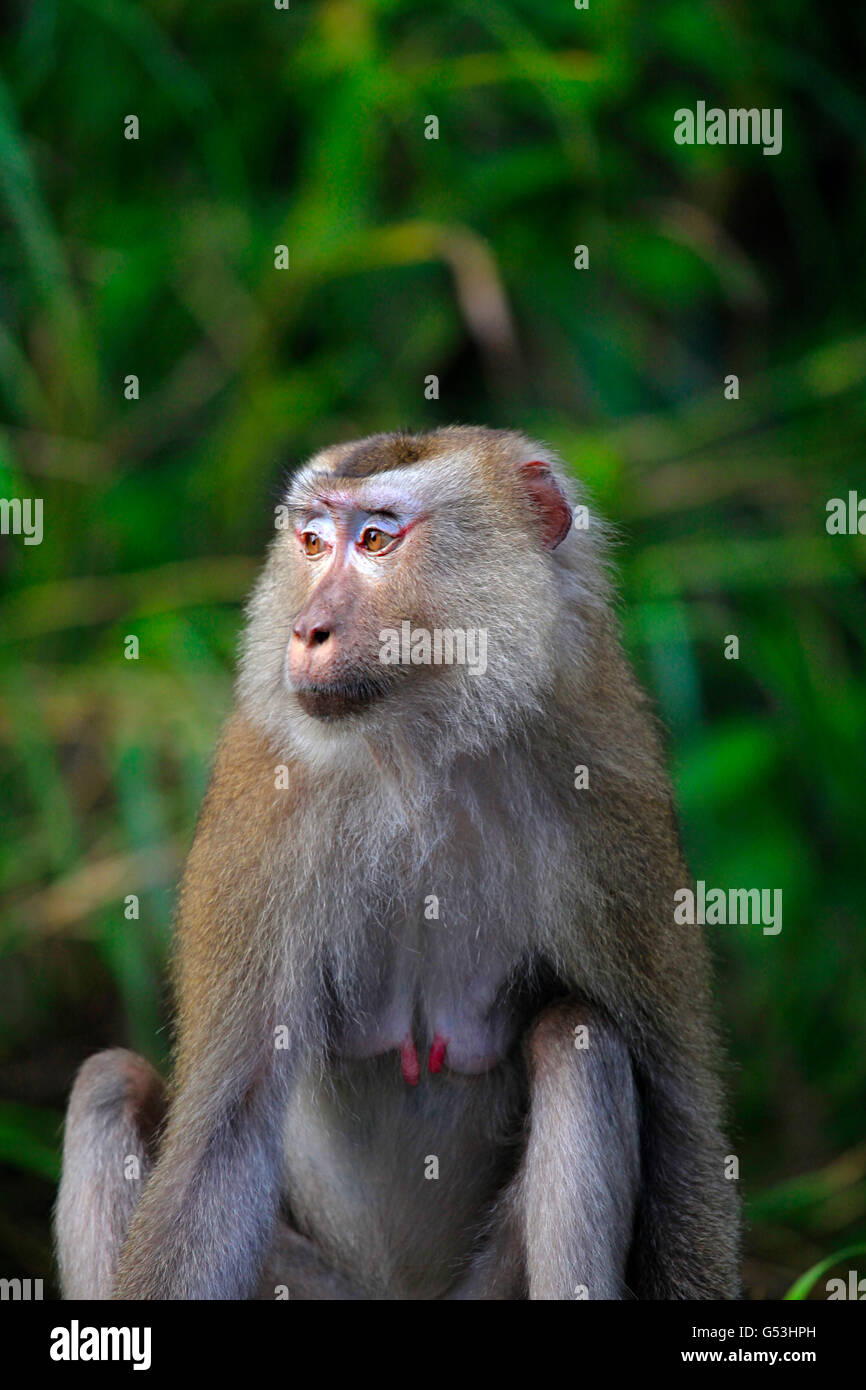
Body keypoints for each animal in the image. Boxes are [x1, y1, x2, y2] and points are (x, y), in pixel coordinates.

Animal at [57, 428, 739, 1295]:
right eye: (313, 543)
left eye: (376, 540)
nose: (306, 629)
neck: (421, 743)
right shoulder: (262, 802)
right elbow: (218, 1147)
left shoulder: (608, 782)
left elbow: (682, 1121)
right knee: (110, 1084)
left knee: (579, 1041)